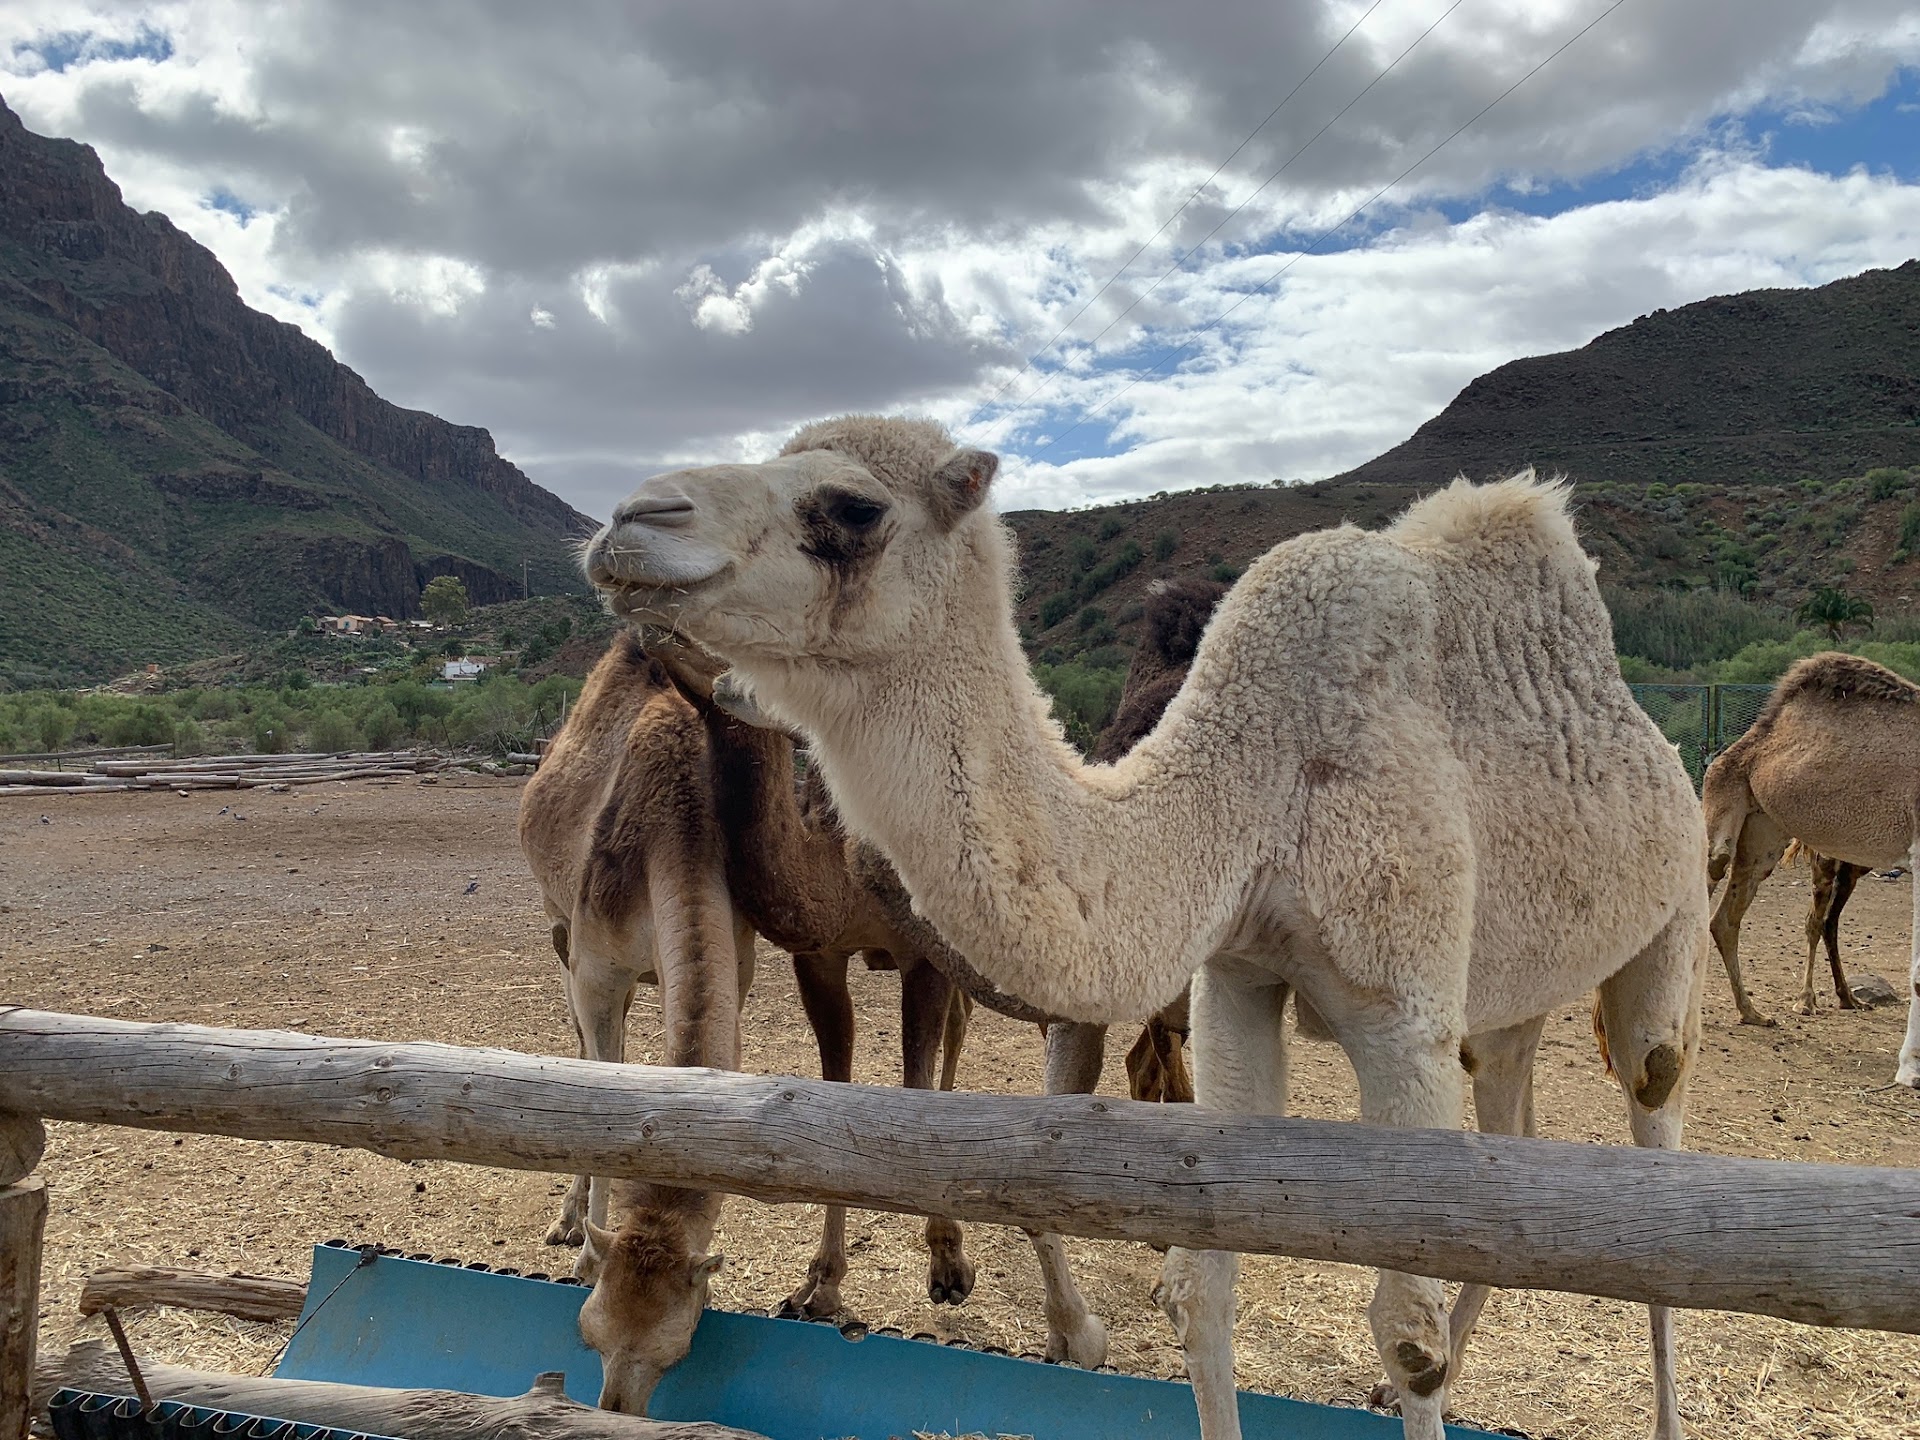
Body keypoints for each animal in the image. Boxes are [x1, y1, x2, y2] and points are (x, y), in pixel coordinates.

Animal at [581, 416, 1711, 1440]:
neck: (1252, 791)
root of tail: (1662, 744)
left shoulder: (1406, 1016)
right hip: (1507, 1004)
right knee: (1513, 1130)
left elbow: (1408, 1329)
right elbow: (1200, 1289)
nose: (631, 522)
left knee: (1656, 1126)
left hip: (1675, 916)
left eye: (854, 508)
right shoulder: (1241, 977)